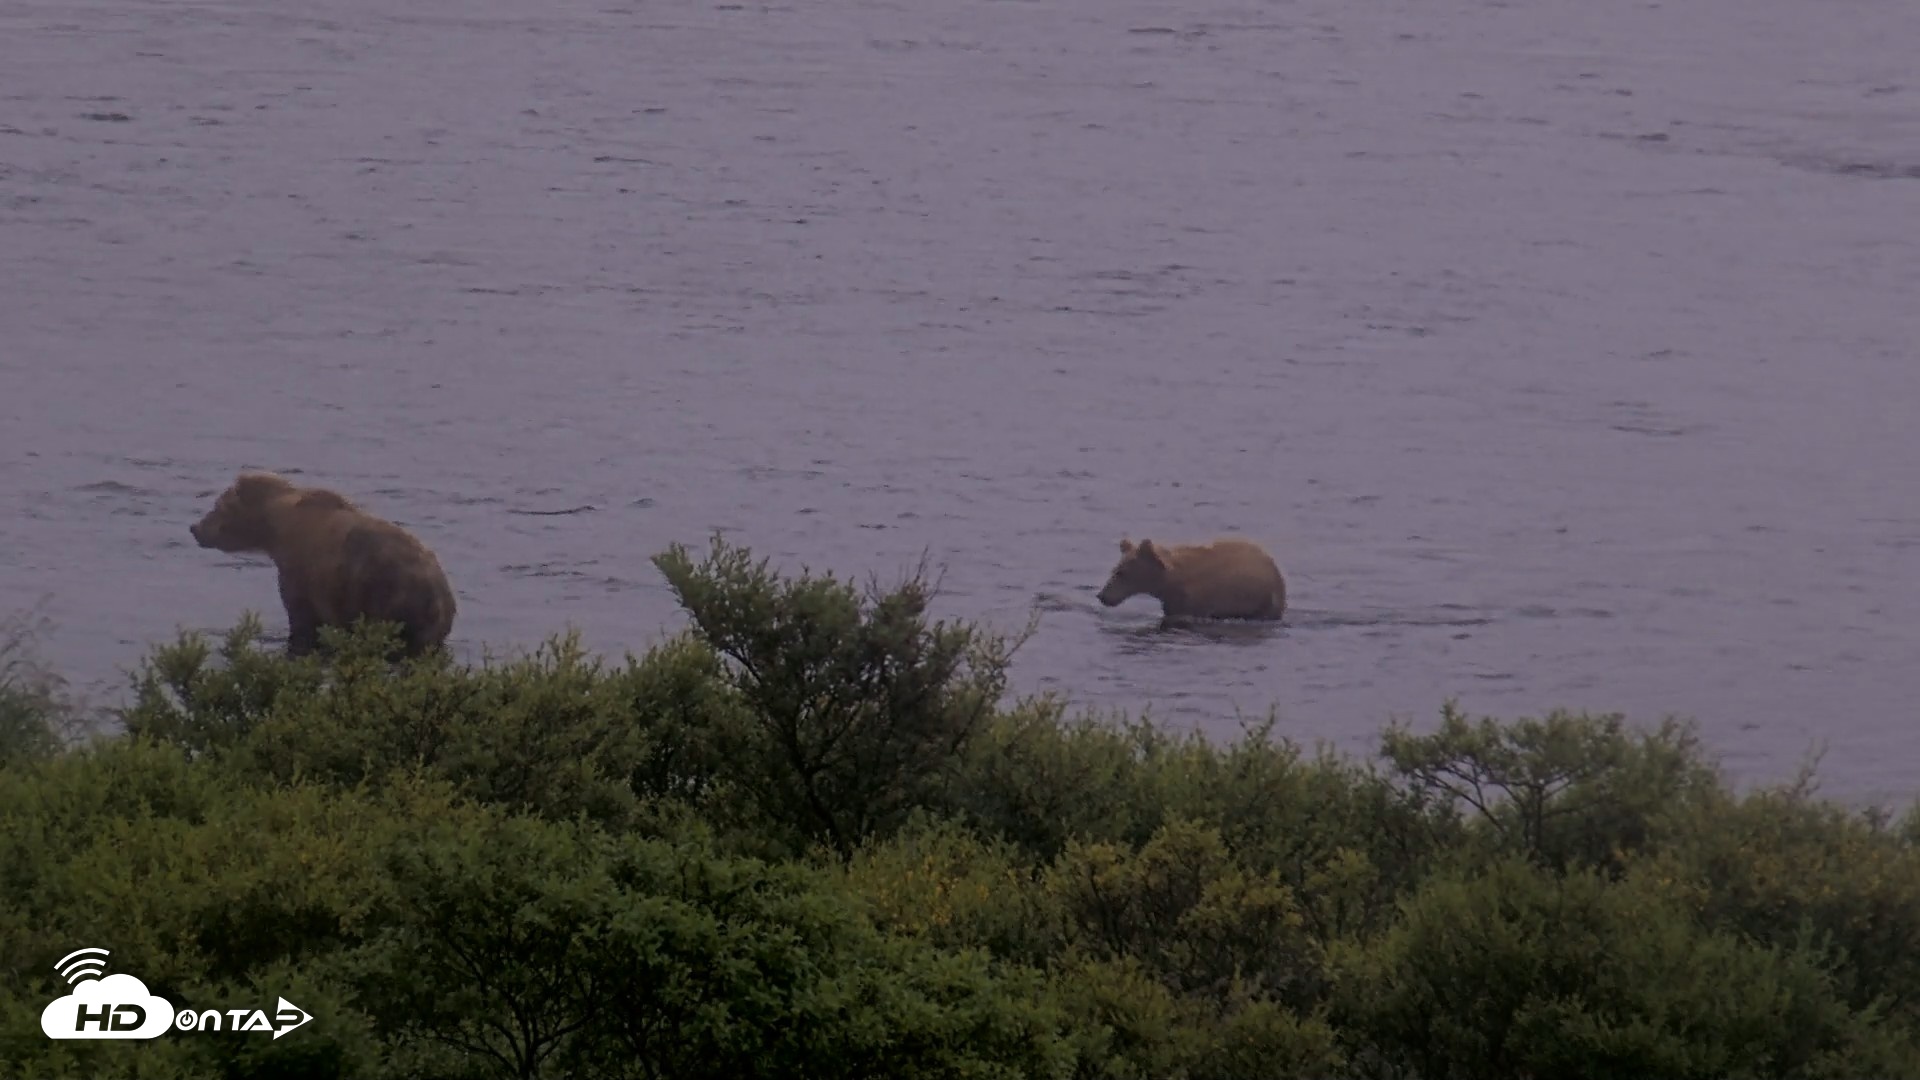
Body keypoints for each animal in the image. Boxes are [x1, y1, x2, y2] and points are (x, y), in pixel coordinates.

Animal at [189, 471, 457, 660]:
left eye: (218, 506)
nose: (195, 528)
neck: (275, 528)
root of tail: (437, 594)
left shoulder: (301, 572)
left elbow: (301, 620)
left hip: (384, 597)